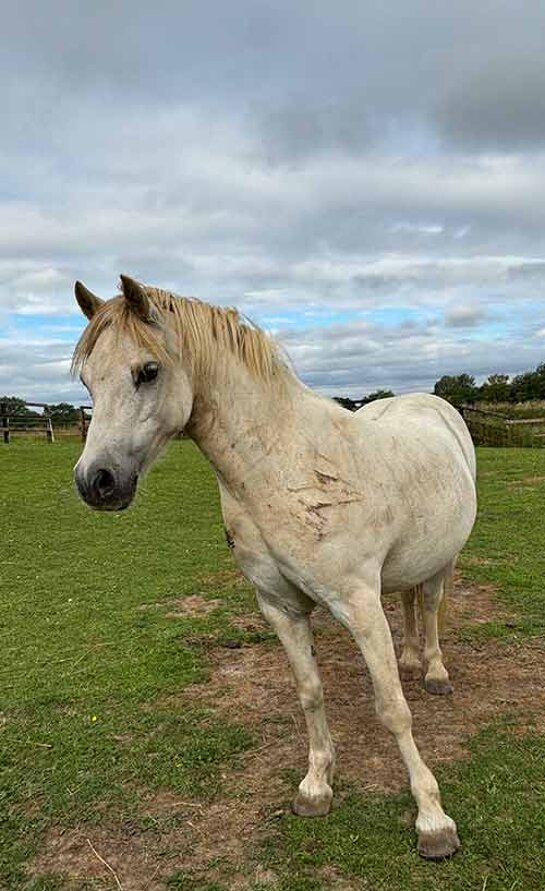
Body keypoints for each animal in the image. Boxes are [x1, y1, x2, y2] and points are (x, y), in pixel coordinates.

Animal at [73, 276, 476, 860]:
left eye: (148, 371)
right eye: (87, 379)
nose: (95, 482)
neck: (285, 468)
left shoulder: (359, 605)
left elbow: (393, 709)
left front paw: (432, 820)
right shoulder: (280, 607)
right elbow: (310, 693)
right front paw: (316, 787)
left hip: (444, 560)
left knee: (431, 606)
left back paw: (436, 672)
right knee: (407, 602)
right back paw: (409, 658)